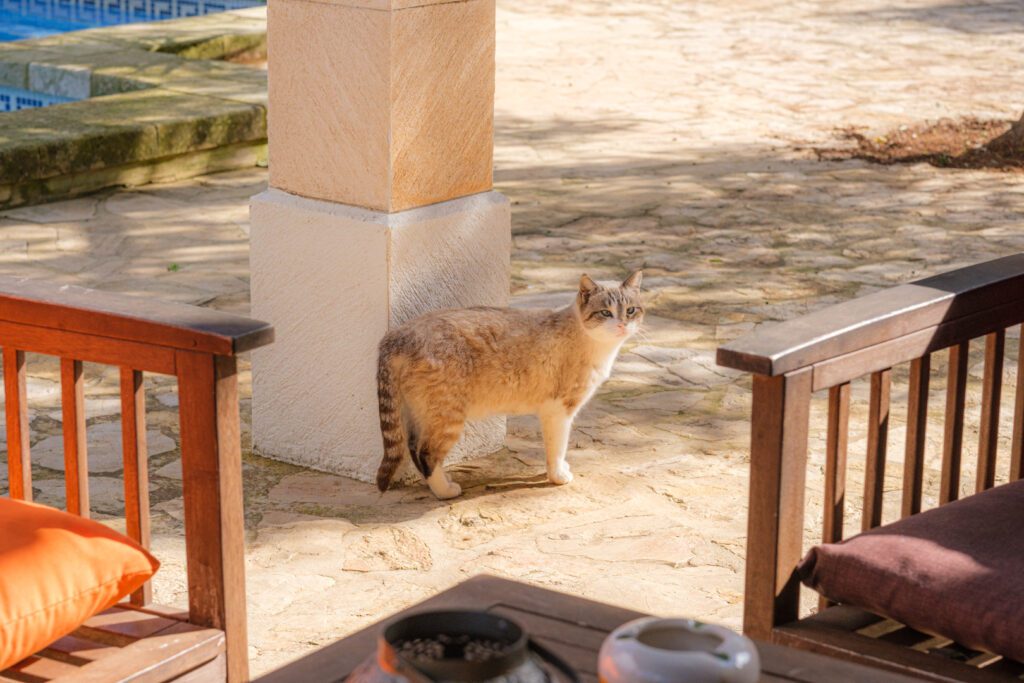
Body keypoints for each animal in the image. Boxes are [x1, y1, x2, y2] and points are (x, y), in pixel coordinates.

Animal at [376, 272, 647, 501]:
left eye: (630, 311)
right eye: (605, 313)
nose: (622, 325)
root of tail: (397, 334)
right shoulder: (559, 410)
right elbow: (557, 448)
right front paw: (558, 476)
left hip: (421, 412)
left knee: (413, 447)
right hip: (447, 416)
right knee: (426, 453)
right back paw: (446, 491)